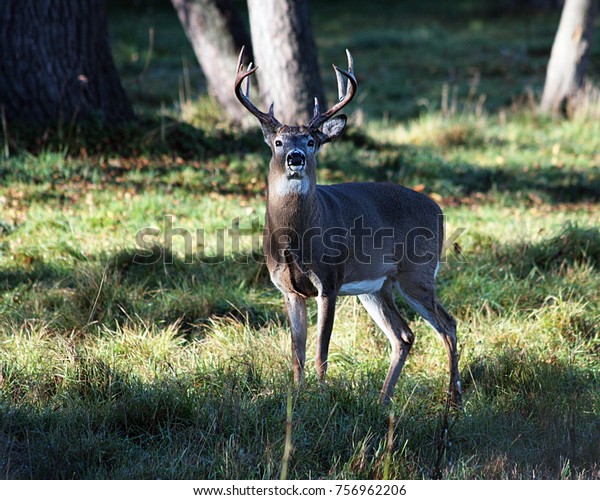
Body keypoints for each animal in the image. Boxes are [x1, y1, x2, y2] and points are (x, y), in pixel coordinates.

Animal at [232, 47, 462, 406]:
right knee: (404, 335)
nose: (295, 157)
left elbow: (320, 352)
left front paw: (322, 397)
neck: (296, 238)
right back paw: (382, 400)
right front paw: (297, 396)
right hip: (377, 286)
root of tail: (438, 208)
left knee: (448, 325)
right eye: (279, 142)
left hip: (417, 273)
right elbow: (296, 354)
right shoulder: (288, 289)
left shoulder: (329, 280)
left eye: (311, 141)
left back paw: (454, 399)